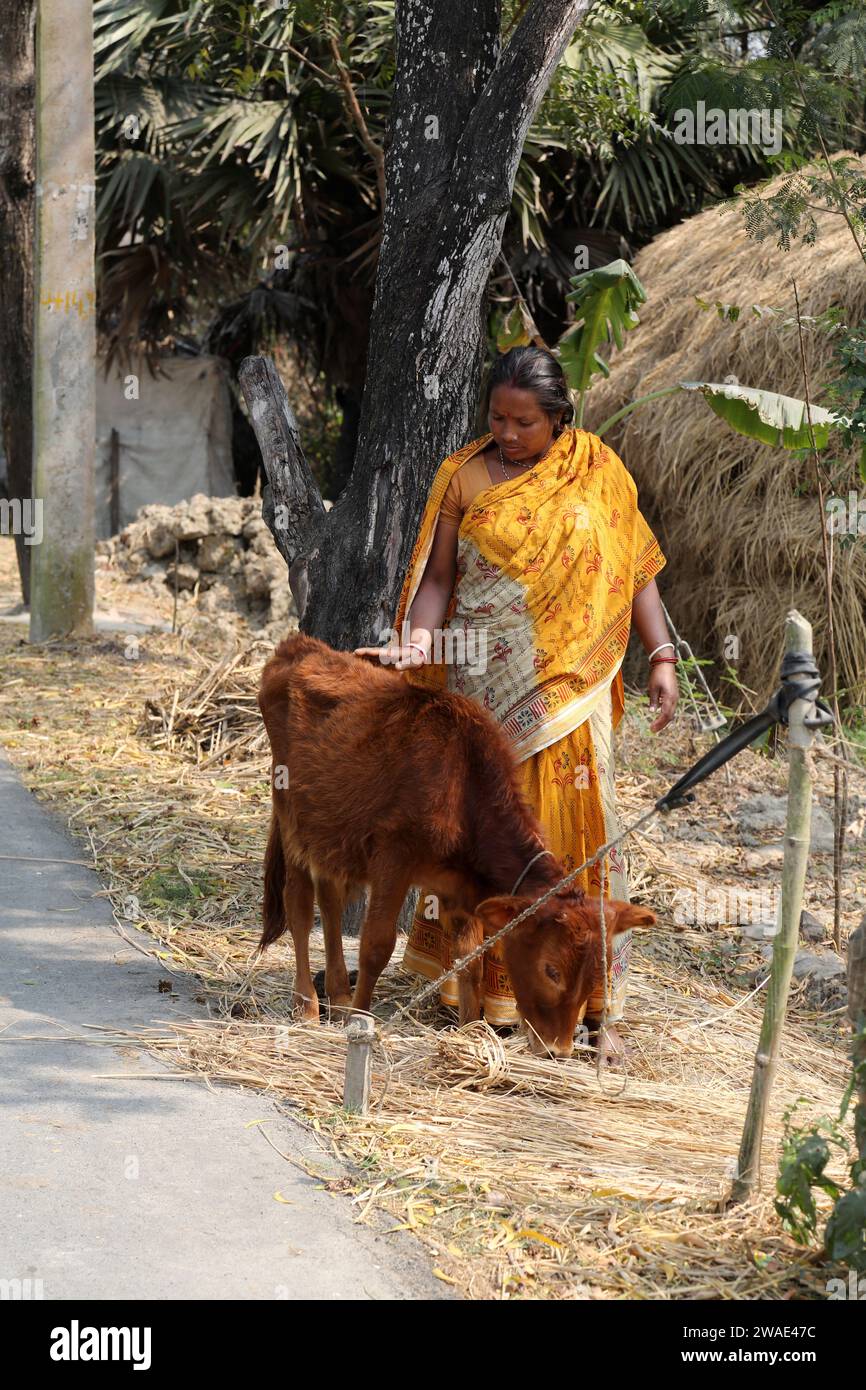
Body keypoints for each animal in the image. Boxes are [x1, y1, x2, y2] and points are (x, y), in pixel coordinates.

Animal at [257, 633, 656, 1050]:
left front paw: (470, 1032)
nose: (557, 1049)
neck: (463, 784)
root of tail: (299, 645)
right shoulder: (393, 857)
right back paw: (307, 1004)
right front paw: (360, 1023)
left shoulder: (459, 885)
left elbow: (470, 962)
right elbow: (376, 947)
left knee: (331, 900)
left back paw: (337, 996)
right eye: (552, 970)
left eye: (594, 973)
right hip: (291, 815)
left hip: (330, 828)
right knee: (300, 905)